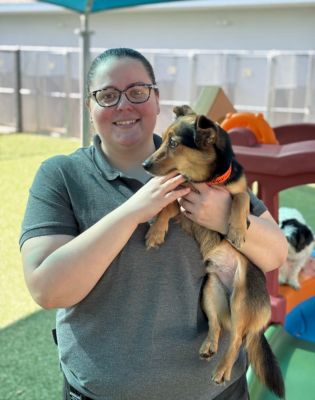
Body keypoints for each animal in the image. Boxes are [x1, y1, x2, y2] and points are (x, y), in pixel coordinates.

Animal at [143, 104, 286, 398]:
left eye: (173, 143)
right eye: (163, 141)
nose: (145, 165)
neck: (206, 180)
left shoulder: (237, 195)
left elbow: (240, 197)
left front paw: (237, 229)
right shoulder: (184, 205)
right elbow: (167, 206)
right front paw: (156, 232)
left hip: (242, 296)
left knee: (237, 341)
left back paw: (222, 370)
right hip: (210, 291)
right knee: (217, 326)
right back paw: (209, 346)